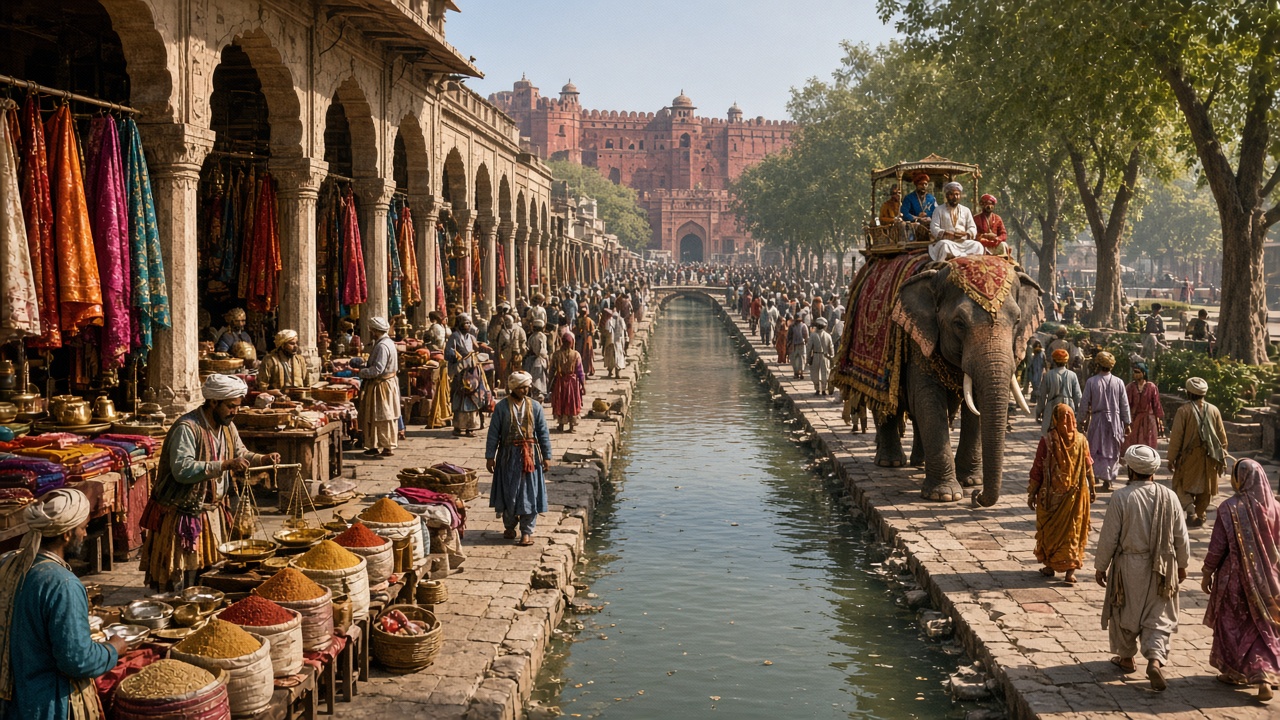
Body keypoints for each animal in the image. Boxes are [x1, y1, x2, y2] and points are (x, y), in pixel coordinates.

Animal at [874, 257, 1042, 505]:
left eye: (1018, 320)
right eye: (959, 323)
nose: (976, 498)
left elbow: (975, 407)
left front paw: (971, 482)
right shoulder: (919, 342)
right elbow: (927, 398)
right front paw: (945, 495)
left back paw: (918, 462)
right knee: (883, 404)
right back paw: (891, 462)